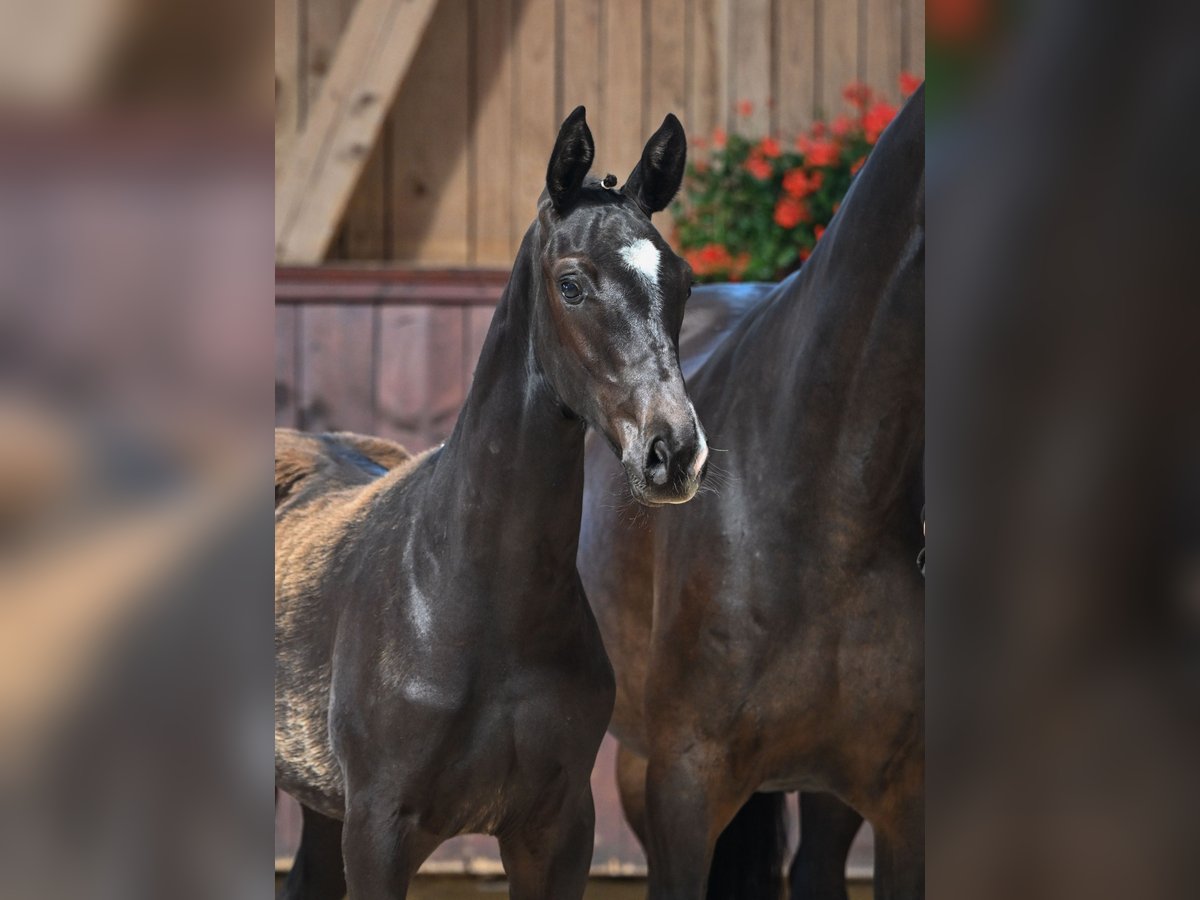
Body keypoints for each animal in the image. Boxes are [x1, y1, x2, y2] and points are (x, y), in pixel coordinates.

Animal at [275, 106, 708, 899]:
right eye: (571, 284)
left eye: (684, 283)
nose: (673, 453)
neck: (471, 599)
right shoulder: (379, 829)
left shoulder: (557, 831)